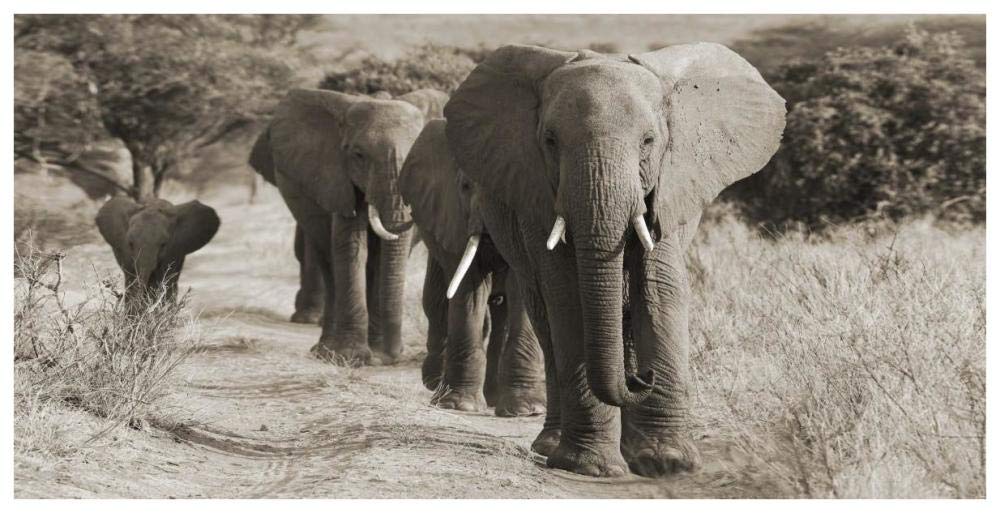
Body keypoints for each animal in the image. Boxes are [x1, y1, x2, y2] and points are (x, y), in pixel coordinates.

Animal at [248, 88, 449, 365]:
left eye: (416, 159)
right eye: (358, 156)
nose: (393, 356)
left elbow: (386, 256)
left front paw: (377, 356)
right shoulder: (338, 179)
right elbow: (352, 247)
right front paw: (351, 357)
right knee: (329, 262)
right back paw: (324, 351)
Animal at [398, 119, 546, 416]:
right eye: (466, 186)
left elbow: (521, 289)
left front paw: (527, 410)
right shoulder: (452, 215)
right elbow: (468, 289)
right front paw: (458, 405)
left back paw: (494, 398)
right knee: (436, 301)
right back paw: (437, 384)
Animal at [443, 43, 785, 477]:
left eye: (649, 141)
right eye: (550, 141)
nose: (643, 378)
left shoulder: (668, 188)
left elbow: (659, 289)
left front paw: (667, 463)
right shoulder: (537, 194)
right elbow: (569, 295)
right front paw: (591, 468)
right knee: (546, 320)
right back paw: (552, 446)